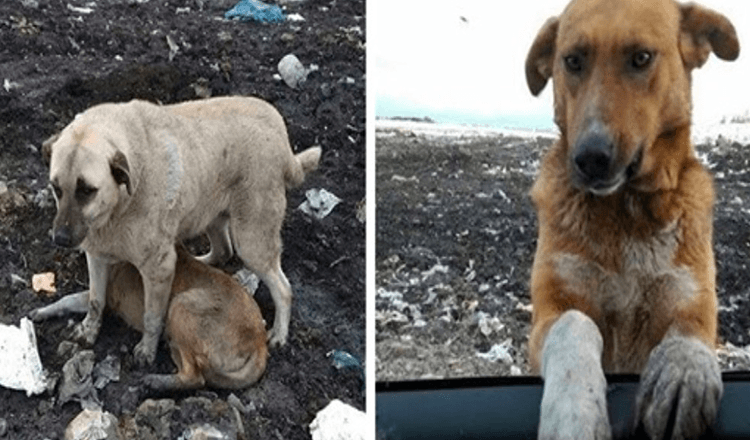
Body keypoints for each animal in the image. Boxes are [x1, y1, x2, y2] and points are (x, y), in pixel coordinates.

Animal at [30, 246, 270, 390]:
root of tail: (259, 342)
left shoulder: (104, 298)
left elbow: (70, 300)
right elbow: (67, 300)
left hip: (181, 306)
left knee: (195, 377)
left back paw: (155, 382)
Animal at [44, 97, 320, 368]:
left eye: (87, 190)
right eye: (56, 188)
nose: (60, 239)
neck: (119, 205)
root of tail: (280, 132)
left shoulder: (158, 270)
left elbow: (152, 316)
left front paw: (147, 350)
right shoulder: (96, 256)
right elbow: (95, 300)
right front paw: (89, 330)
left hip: (252, 241)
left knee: (283, 288)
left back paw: (280, 334)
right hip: (210, 213)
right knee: (223, 251)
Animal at [524, 0, 744, 438]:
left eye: (641, 58)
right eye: (572, 61)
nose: (591, 157)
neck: (627, 210)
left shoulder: (692, 302)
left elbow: (689, 335)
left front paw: (683, 371)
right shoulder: (551, 310)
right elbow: (574, 324)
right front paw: (574, 413)